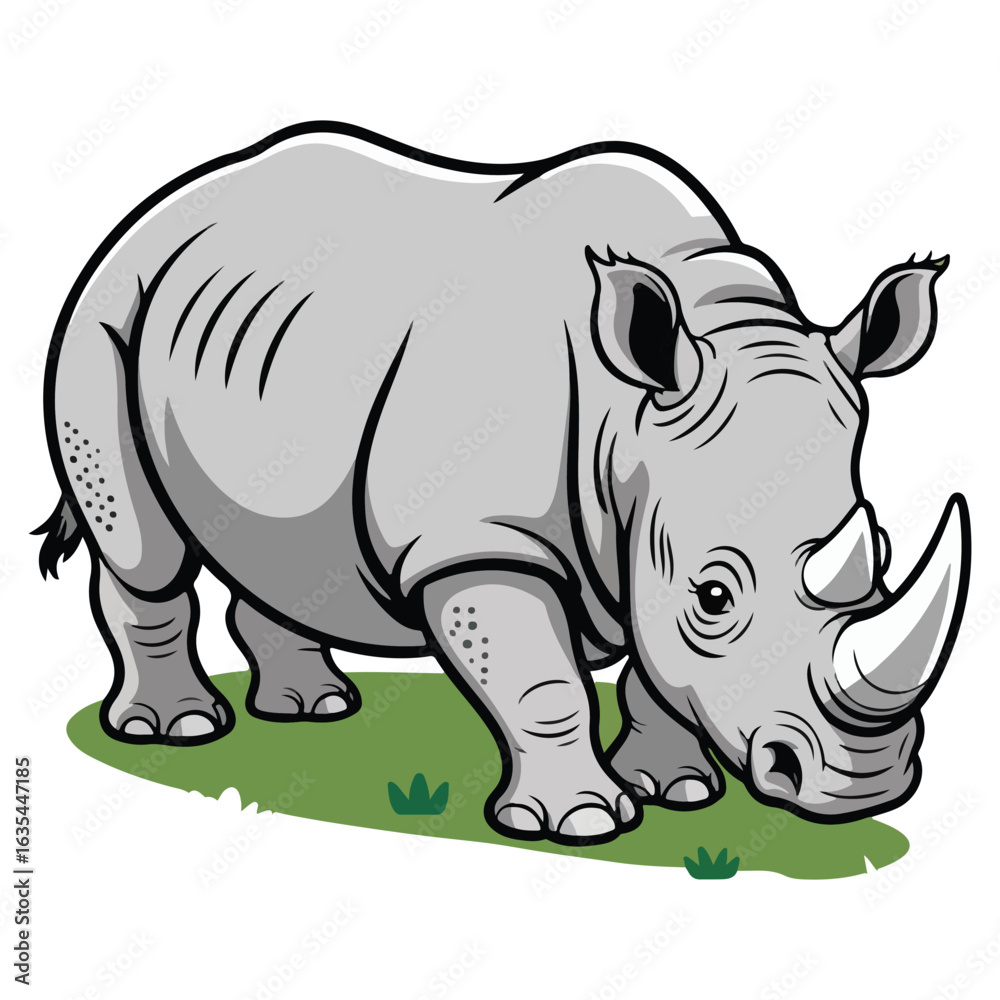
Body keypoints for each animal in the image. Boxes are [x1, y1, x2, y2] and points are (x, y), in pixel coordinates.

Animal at [37, 123, 970, 845]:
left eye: (885, 550)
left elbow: (653, 668)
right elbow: (541, 682)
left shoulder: (638, 530)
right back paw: (180, 730)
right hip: (109, 308)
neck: (628, 418)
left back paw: (312, 709)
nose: (865, 786)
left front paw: (677, 790)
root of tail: (164, 204)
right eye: (713, 596)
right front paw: (582, 824)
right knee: (143, 549)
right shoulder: (476, 540)